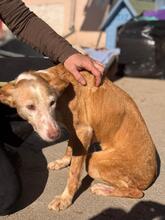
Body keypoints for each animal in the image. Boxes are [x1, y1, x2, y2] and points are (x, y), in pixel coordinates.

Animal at [0, 63, 157, 211]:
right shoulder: (75, 132)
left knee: (137, 192)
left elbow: (74, 173)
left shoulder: (83, 131)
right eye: (30, 107)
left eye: (51, 102)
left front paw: (65, 199)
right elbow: (69, 148)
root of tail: (151, 177)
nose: (55, 134)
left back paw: (103, 189)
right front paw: (62, 162)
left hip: (94, 161)